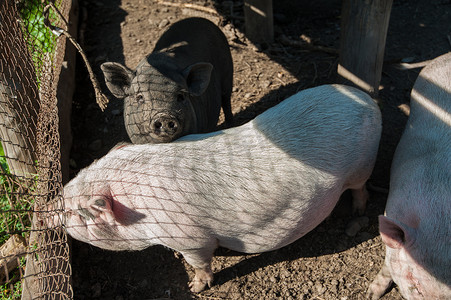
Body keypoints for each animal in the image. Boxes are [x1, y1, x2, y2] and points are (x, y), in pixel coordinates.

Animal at [57, 84, 382, 290]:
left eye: (78, 213)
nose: (50, 207)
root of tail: (369, 100)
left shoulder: (192, 239)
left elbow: (200, 263)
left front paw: (196, 287)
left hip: (363, 165)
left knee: (361, 189)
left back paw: (357, 212)